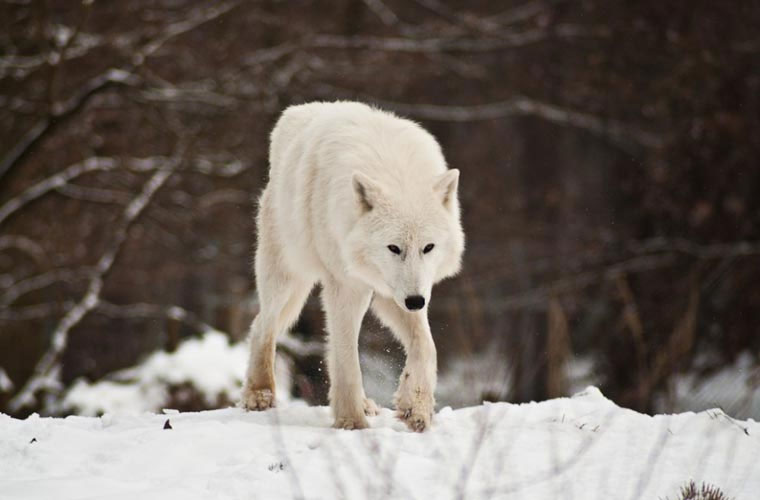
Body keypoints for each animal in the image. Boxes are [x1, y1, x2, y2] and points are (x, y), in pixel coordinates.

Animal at [241, 101, 464, 431]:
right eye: (394, 248)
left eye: (428, 247)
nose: (415, 302)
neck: (396, 172)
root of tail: (298, 111)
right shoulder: (347, 287)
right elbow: (346, 358)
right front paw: (351, 422)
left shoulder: (395, 292)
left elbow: (426, 346)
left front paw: (416, 407)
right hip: (288, 279)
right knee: (262, 326)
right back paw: (259, 394)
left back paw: (367, 404)